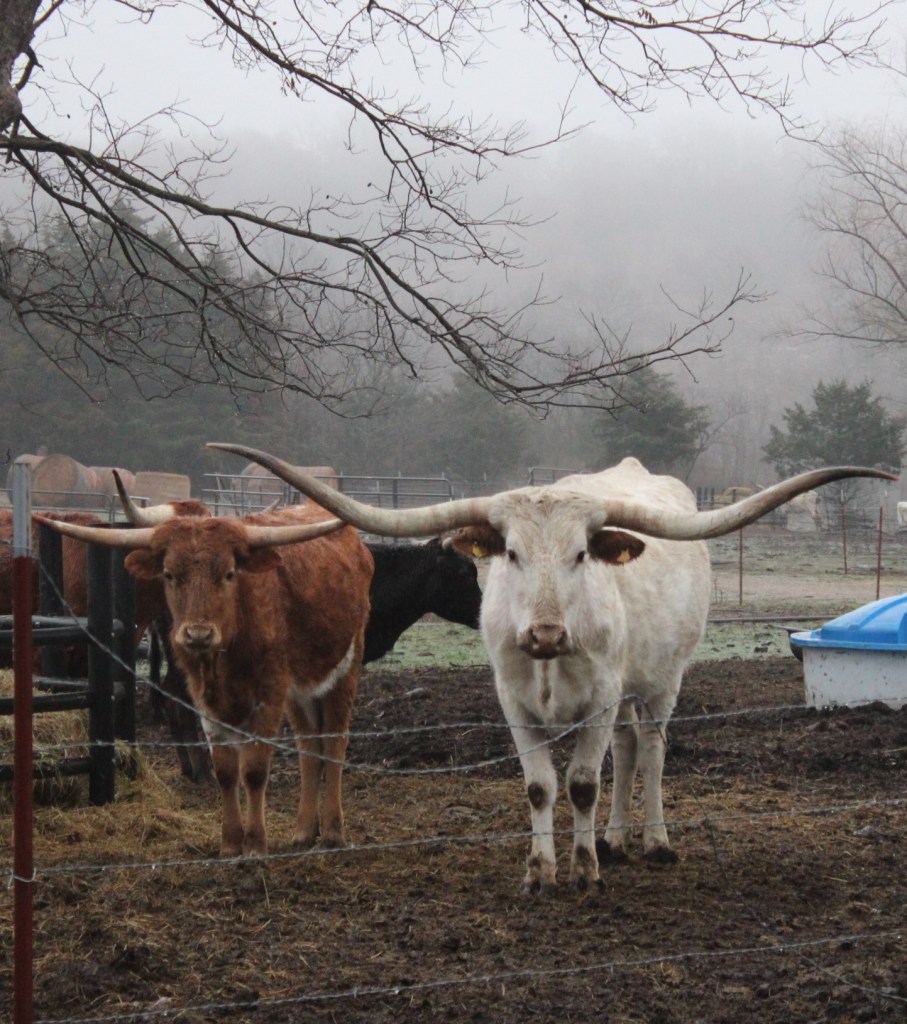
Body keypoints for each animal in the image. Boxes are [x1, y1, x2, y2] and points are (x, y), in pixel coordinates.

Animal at [37, 503, 374, 857]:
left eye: (229, 573)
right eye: (169, 574)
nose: (198, 634)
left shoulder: (269, 693)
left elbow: (254, 770)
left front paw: (256, 845)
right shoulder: (207, 700)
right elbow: (226, 771)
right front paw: (230, 844)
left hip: (345, 669)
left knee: (334, 742)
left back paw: (333, 832)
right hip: (302, 688)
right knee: (310, 745)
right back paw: (305, 832)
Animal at [208, 443, 894, 889]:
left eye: (581, 554)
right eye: (509, 552)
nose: (543, 632)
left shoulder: (599, 700)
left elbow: (584, 783)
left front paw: (582, 869)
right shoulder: (514, 704)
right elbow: (541, 786)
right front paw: (541, 870)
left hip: (662, 680)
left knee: (650, 748)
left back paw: (652, 840)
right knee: (628, 748)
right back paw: (615, 839)